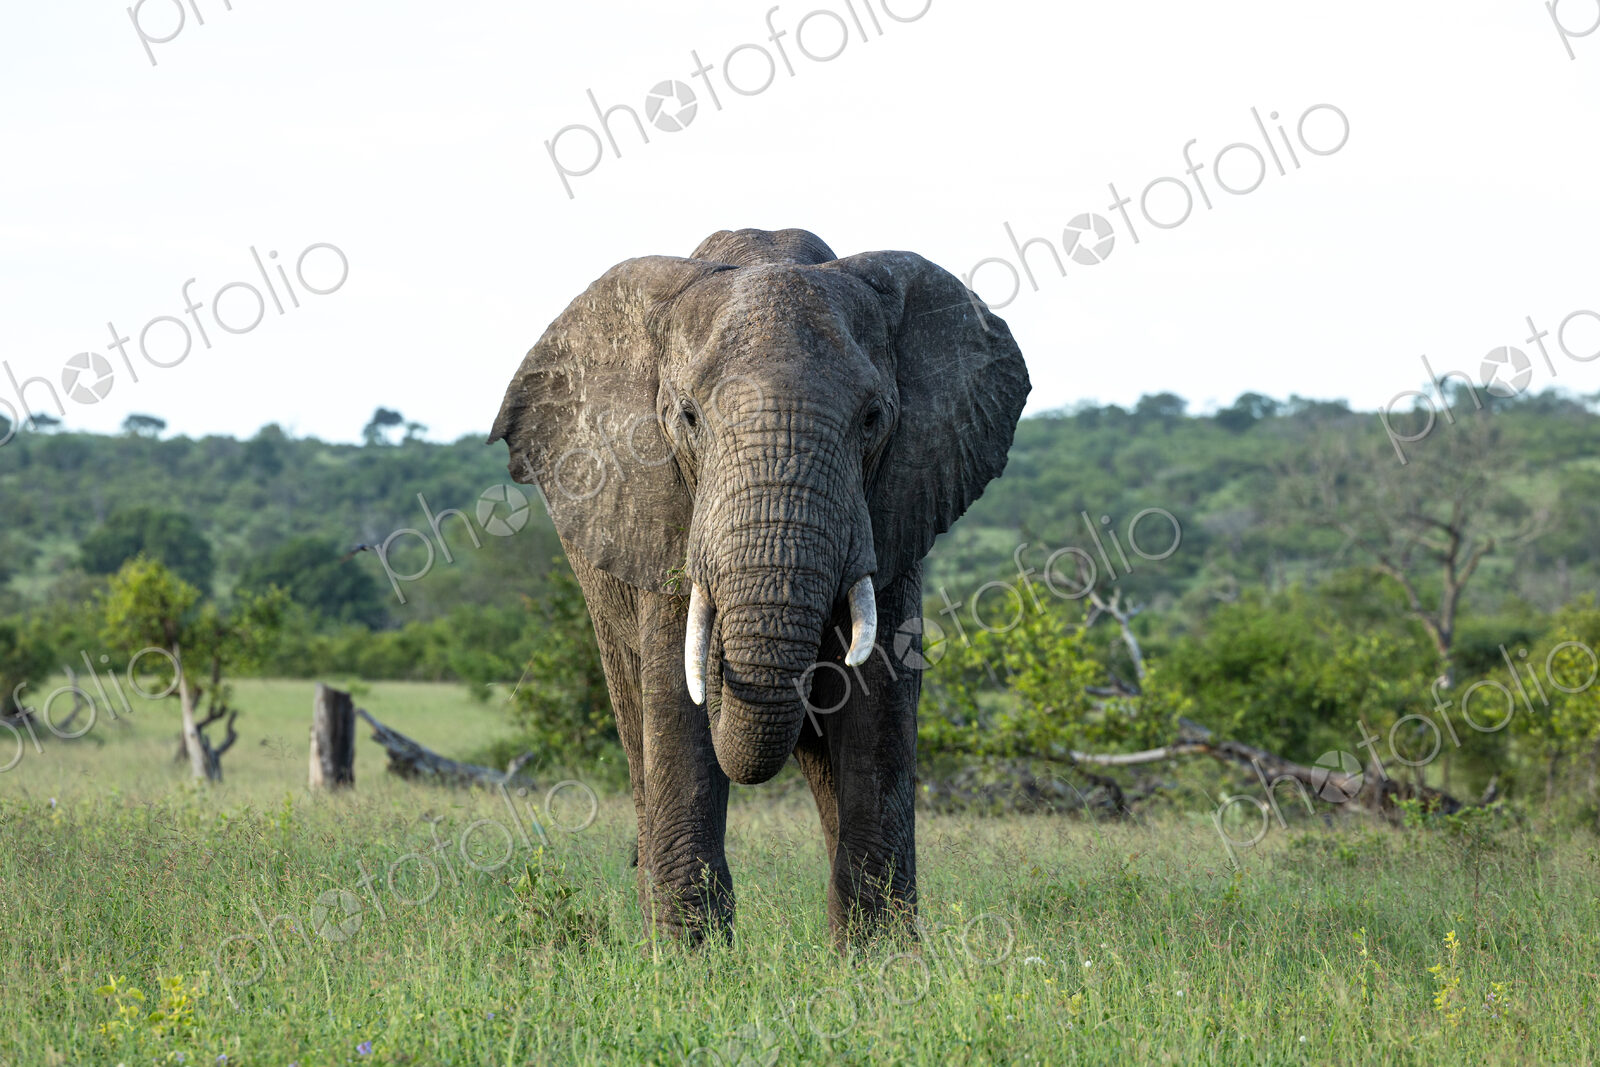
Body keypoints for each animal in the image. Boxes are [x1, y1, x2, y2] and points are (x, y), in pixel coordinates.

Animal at [489, 227, 1029, 946]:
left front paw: (881, 963)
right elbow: (676, 699)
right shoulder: (662, 513)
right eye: (688, 417)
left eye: (872, 418)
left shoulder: (894, 513)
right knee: (636, 720)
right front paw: (690, 961)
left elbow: (878, 702)